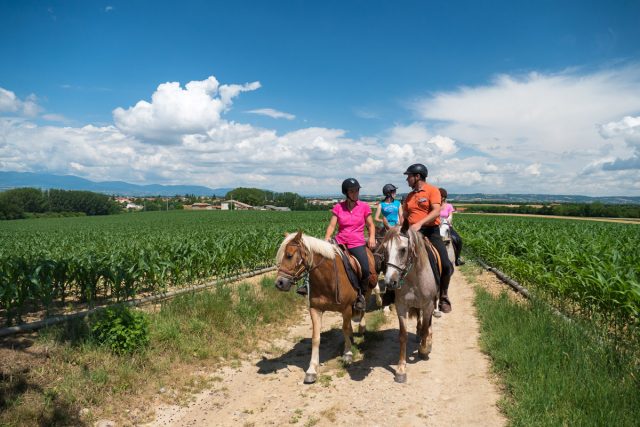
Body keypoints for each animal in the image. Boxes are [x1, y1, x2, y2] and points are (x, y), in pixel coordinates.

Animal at [274, 232, 376, 386]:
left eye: (289, 255)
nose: (279, 283)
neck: (327, 278)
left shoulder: (346, 308)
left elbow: (345, 329)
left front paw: (347, 354)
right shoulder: (315, 310)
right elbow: (316, 338)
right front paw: (311, 370)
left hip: (367, 291)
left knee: (362, 310)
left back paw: (361, 328)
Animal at [380, 227, 440, 384]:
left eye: (403, 249)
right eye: (385, 249)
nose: (390, 282)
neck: (414, 278)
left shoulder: (428, 305)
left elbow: (426, 329)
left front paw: (424, 350)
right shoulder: (401, 306)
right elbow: (403, 335)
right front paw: (401, 369)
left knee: (428, 323)